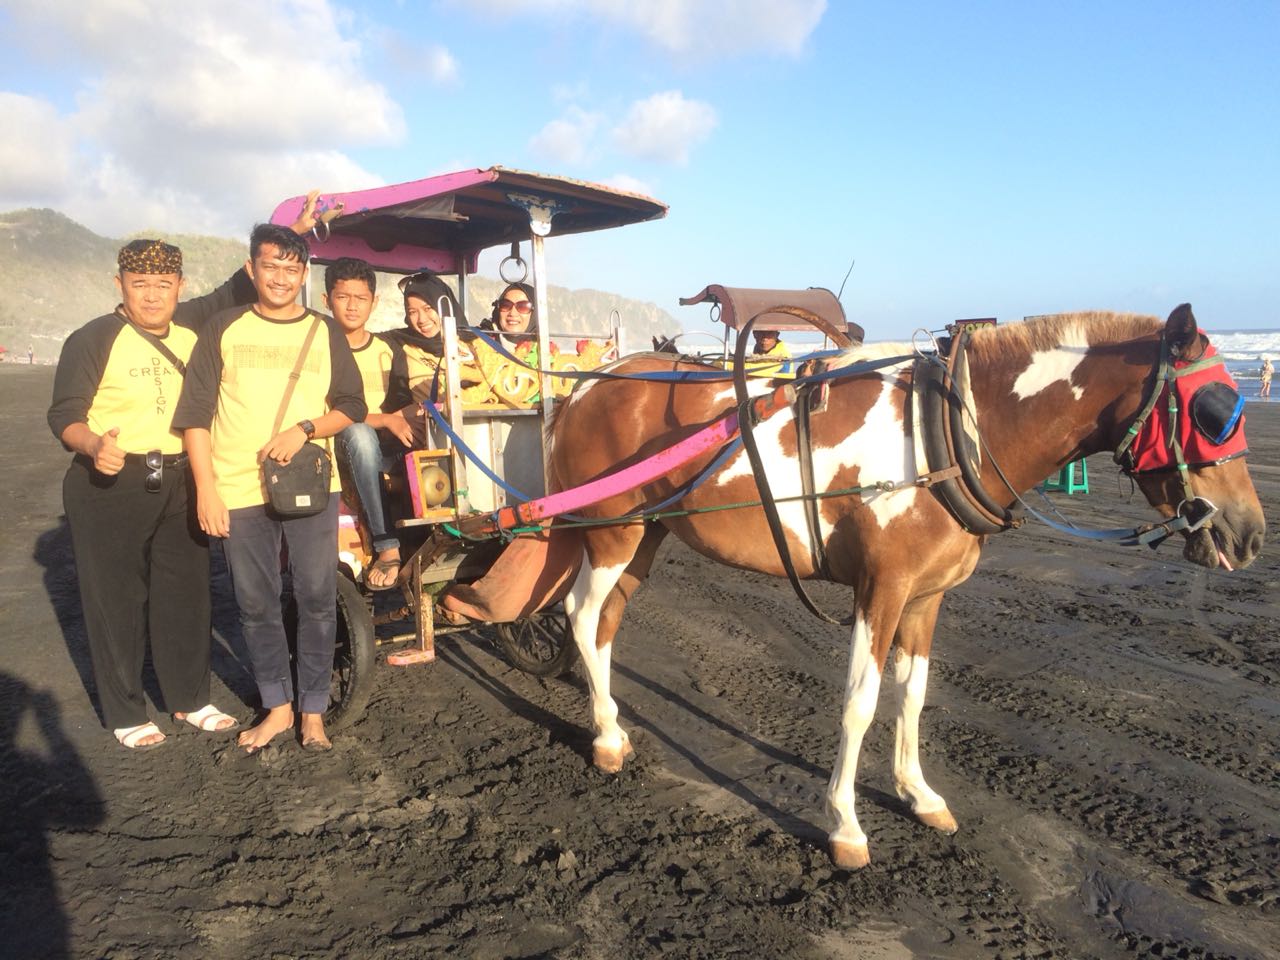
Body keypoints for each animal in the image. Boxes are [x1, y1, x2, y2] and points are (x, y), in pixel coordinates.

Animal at [540, 305, 1259, 870]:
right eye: (1213, 413)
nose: (1250, 533)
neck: (948, 434)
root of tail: (586, 388)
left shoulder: (925, 597)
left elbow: (913, 695)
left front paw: (918, 793)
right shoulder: (880, 591)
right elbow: (860, 703)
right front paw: (845, 822)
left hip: (646, 536)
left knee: (606, 625)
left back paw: (610, 726)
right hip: (612, 534)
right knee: (580, 614)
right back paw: (605, 736)